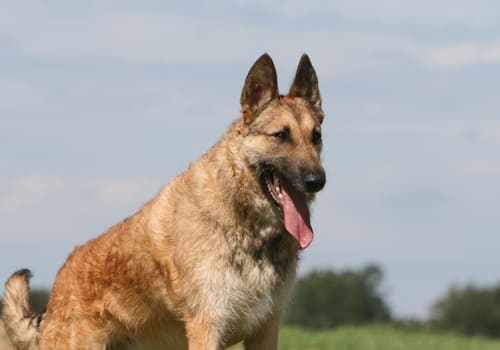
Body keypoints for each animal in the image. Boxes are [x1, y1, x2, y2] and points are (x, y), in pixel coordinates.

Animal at [1, 52, 326, 350]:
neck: (245, 219)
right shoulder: (208, 326)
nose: (317, 180)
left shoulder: (265, 330)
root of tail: (59, 284)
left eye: (316, 136)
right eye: (281, 136)